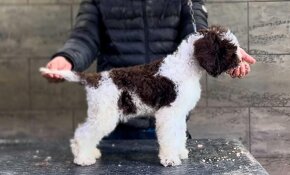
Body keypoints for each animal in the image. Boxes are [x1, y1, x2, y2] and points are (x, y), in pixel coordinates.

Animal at [39, 25, 241, 167]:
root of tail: (93, 78)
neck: (186, 66)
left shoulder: (178, 114)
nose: (239, 61)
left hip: (99, 113)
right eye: (227, 48)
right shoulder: (168, 113)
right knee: (84, 133)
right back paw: (82, 158)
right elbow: (169, 136)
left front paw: (180, 152)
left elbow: (178, 134)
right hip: (105, 115)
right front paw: (170, 159)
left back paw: (89, 153)